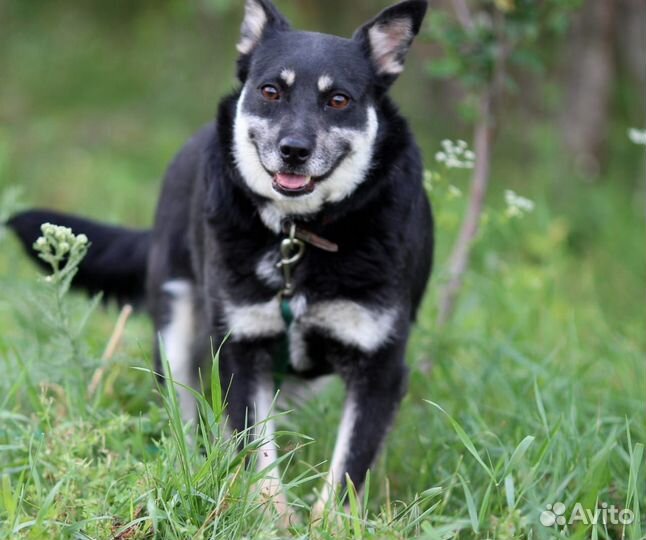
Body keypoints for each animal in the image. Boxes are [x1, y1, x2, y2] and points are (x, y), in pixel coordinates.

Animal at [7, 0, 436, 524]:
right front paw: (272, 522)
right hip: (175, 326)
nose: (294, 151)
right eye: (271, 91)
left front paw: (326, 525)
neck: (297, 236)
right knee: (184, 418)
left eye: (338, 100)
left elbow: (348, 469)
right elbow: (256, 453)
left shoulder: (379, 367)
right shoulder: (238, 349)